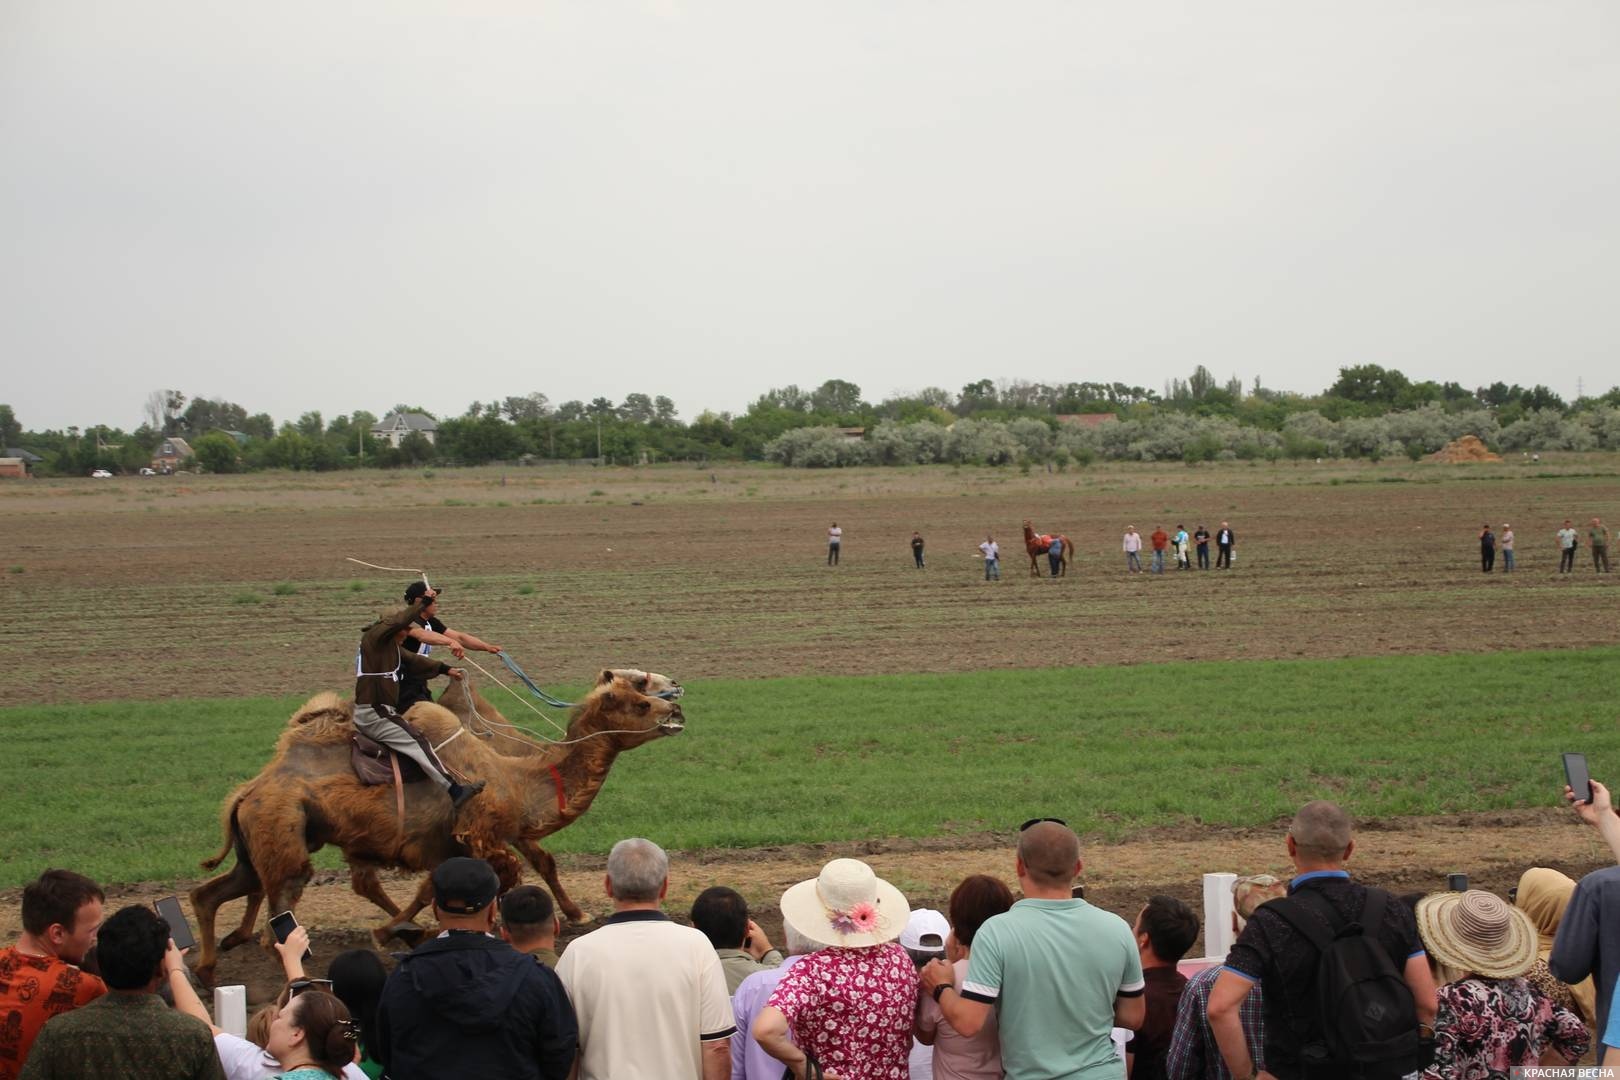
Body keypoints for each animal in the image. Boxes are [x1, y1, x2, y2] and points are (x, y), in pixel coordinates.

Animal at [189, 683, 683, 990]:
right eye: (640, 701)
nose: (676, 708)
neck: (519, 779)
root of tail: (247, 791)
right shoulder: (480, 831)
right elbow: (504, 877)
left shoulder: (448, 844)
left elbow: (432, 888)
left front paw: (400, 931)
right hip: (283, 828)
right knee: (280, 908)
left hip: (265, 839)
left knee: (213, 892)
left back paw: (209, 972)